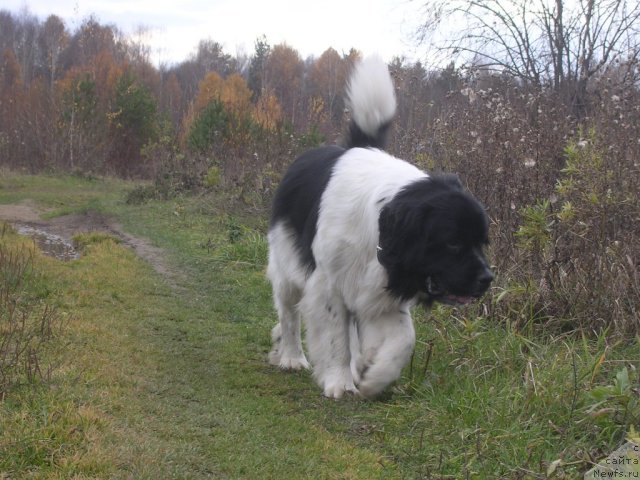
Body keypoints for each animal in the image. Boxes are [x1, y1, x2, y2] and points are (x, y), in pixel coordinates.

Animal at [268, 55, 492, 398]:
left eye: (482, 242)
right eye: (453, 242)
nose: (487, 279)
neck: (382, 222)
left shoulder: (381, 289)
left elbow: (404, 339)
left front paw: (373, 377)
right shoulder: (329, 285)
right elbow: (335, 339)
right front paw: (339, 382)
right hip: (287, 266)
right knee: (289, 313)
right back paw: (292, 357)